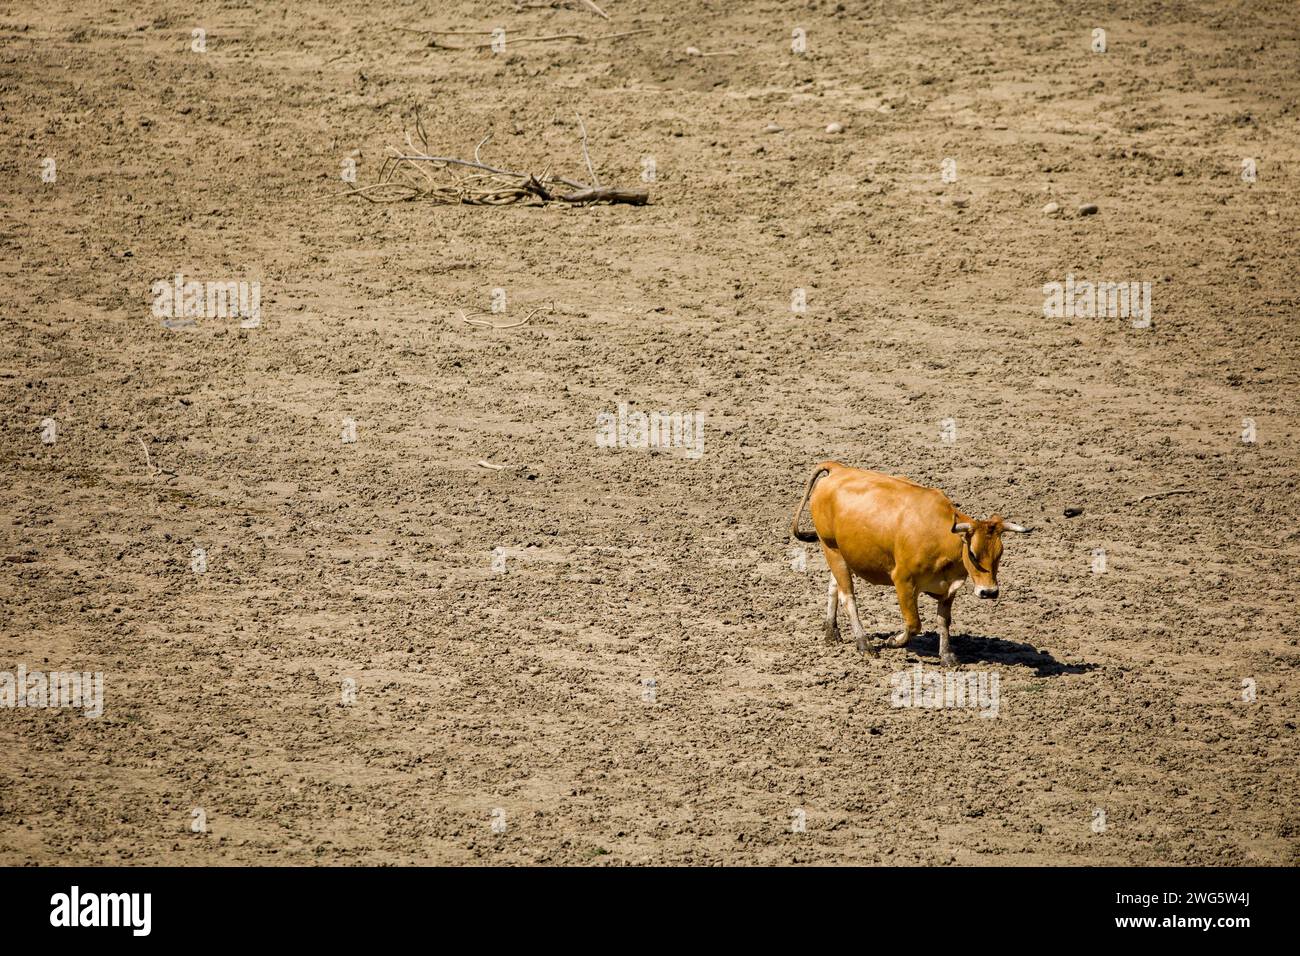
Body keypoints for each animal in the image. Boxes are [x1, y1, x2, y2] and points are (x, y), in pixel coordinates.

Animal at [790, 461, 1029, 664]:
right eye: (972, 553)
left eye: (1000, 553)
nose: (989, 592)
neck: (939, 535)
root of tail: (838, 468)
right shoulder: (903, 581)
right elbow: (914, 624)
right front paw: (894, 641)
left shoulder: (949, 587)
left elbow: (943, 622)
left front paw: (947, 656)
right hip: (830, 547)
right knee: (847, 596)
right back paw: (864, 644)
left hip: (841, 552)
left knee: (834, 588)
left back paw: (832, 632)